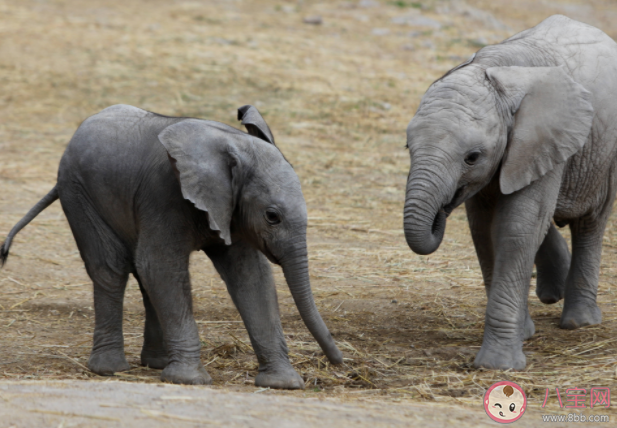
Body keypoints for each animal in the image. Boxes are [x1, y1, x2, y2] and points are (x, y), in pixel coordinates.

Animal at [1, 103, 342, 388]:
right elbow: (161, 265)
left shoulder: (230, 210)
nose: (339, 363)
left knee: (141, 274)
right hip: (78, 192)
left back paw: (156, 363)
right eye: (272, 217)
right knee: (111, 269)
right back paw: (111, 369)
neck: (231, 144)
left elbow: (251, 277)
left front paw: (283, 384)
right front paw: (189, 380)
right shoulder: (164, 193)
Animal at [404, 16, 616, 370]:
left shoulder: (543, 139)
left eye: (472, 157)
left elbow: (517, 228)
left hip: (604, 157)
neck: (496, 74)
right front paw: (523, 333)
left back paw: (579, 322)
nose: (442, 209)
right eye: (408, 147)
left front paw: (497, 365)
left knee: (590, 221)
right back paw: (552, 296)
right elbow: (484, 229)